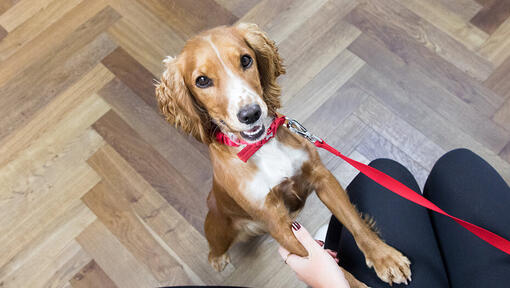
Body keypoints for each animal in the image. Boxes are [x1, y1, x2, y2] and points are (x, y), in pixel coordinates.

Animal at [154, 23, 410, 288]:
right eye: (202, 80)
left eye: (245, 60)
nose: (251, 114)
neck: (261, 146)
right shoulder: (276, 220)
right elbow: (326, 263)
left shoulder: (322, 177)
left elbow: (354, 221)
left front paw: (384, 257)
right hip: (219, 226)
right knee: (214, 245)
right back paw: (217, 258)